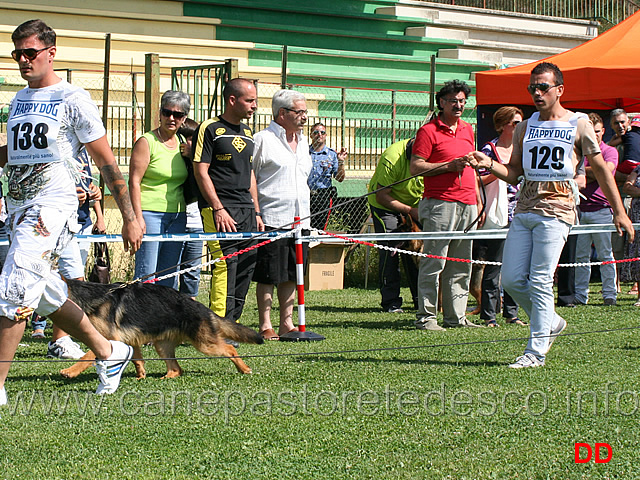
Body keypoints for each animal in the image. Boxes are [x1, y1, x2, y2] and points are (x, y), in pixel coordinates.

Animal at [57, 280, 262, 380]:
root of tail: (204, 308)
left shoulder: (108, 339)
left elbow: (88, 355)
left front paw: (71, 371)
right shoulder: (130, 341)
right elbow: (137, 359)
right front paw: (141, 376)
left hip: (205, 344)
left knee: (230, 349)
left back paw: (244, 369)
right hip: (162, 346)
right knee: (177, 369)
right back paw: (165, 378)